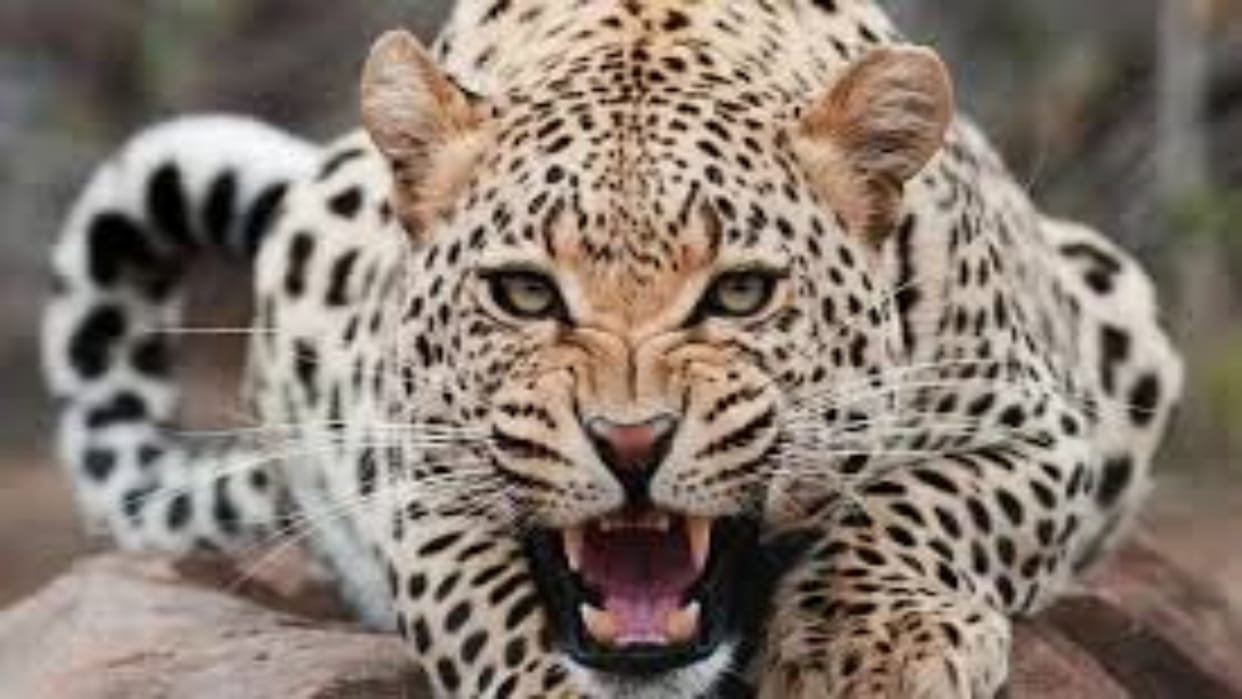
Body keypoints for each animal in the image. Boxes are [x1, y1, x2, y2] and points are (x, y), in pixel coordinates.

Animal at [42, 0, 1184, 696]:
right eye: (522, 291)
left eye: (740, 292)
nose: (631, 443)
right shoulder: (422, 489)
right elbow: (496, 620)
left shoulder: (1041, 424)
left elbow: (922, 504)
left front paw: (866, 649)